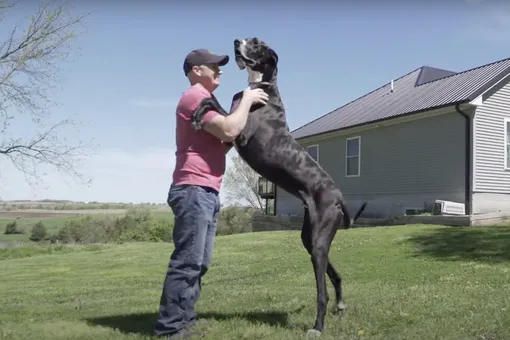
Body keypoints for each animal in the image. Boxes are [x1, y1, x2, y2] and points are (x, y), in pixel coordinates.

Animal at [191, 37, 366, 338]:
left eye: (256, 43)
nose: (236, 41)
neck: (261, 86)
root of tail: (338, 197)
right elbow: (213, 102)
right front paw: (198, 111)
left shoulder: (241, 134)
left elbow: (213, 101)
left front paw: (198, 112)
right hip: (310, 237)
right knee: (334, 273)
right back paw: (341, 304)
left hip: (319, 240)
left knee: (321, 292)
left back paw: (318, 326)